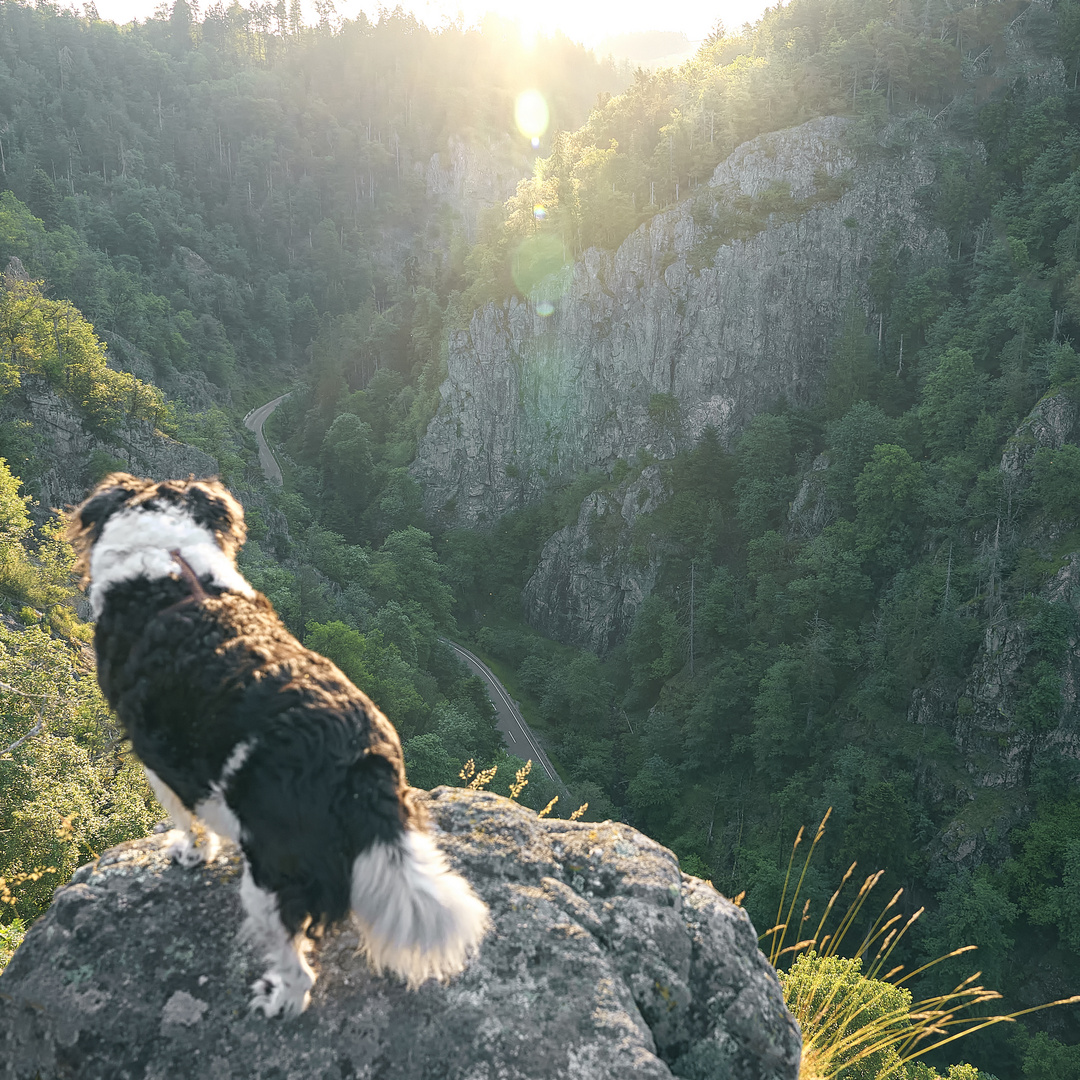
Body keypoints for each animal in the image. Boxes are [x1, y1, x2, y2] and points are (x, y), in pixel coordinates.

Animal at [67, 470, 490, 1010]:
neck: (167, 558)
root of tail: (356, 763)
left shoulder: (161, 757)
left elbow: (185, 820)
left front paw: (190, 853)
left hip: (272, 876)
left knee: (298, 964)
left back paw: (277, 999)